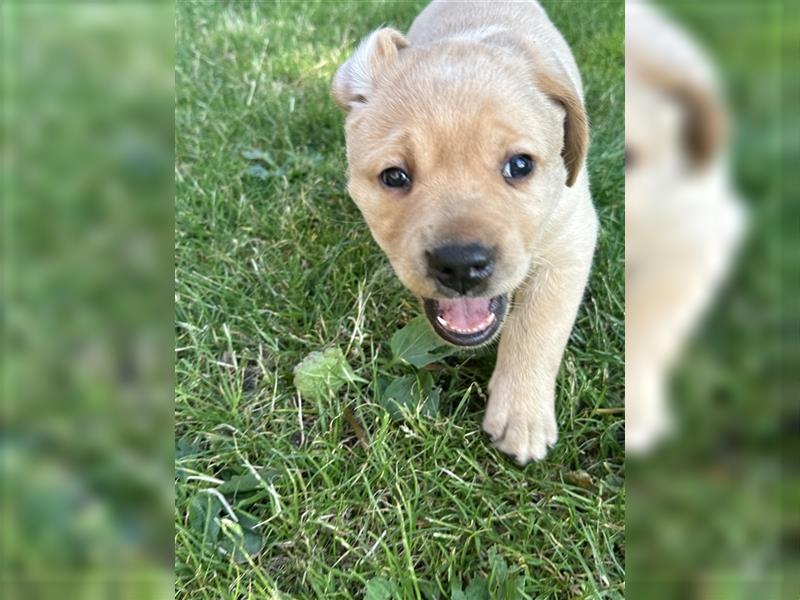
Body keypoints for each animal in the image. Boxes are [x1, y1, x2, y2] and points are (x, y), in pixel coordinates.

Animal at [328, 0, 596, 464]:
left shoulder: (572, 239)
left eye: (520, 165)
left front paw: (522, 415)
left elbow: (538, 328)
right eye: (394, 176)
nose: (460, 265)